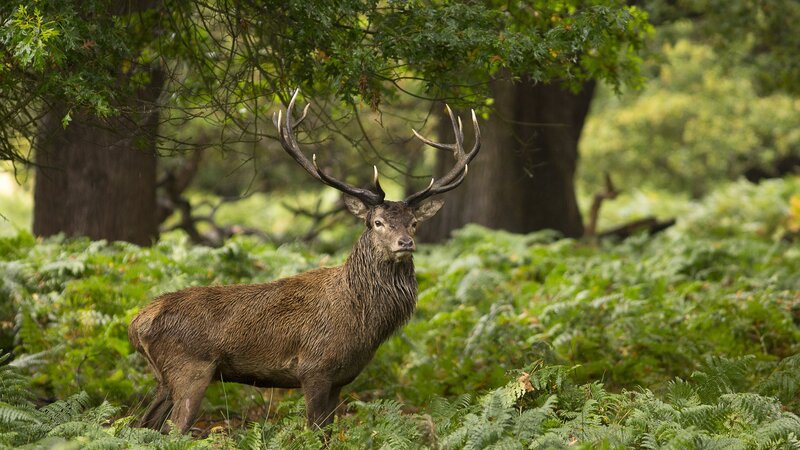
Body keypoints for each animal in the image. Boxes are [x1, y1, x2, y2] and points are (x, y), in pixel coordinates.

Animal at [128, 89, 480, 433]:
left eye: (414, 222)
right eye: (377, 222)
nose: (406, 243)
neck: (364, 321)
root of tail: (137, 322)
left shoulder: (340, 379)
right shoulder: (314, 369)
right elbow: (313, 431)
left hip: (165, 378)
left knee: (143, 425)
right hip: (191, 369)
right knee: (174, 430)